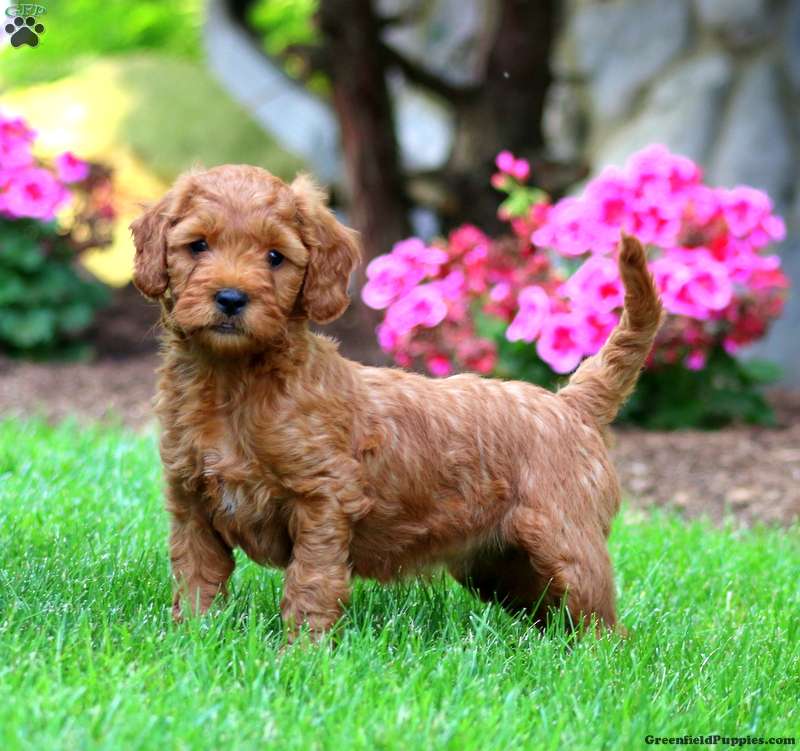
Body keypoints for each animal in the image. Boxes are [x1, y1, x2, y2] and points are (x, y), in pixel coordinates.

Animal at [130, 164, 663, 639]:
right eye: (198, 245)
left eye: (275, 257)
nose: (231, 298)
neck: (232, 381)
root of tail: (571, 402)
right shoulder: (191, 501)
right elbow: (197, 576)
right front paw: (193, 640)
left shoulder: (323, 500)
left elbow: (311, 581)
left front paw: (301, 654)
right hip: (500, 566)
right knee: (552, 614)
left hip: (565, 540)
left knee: (603, 626)